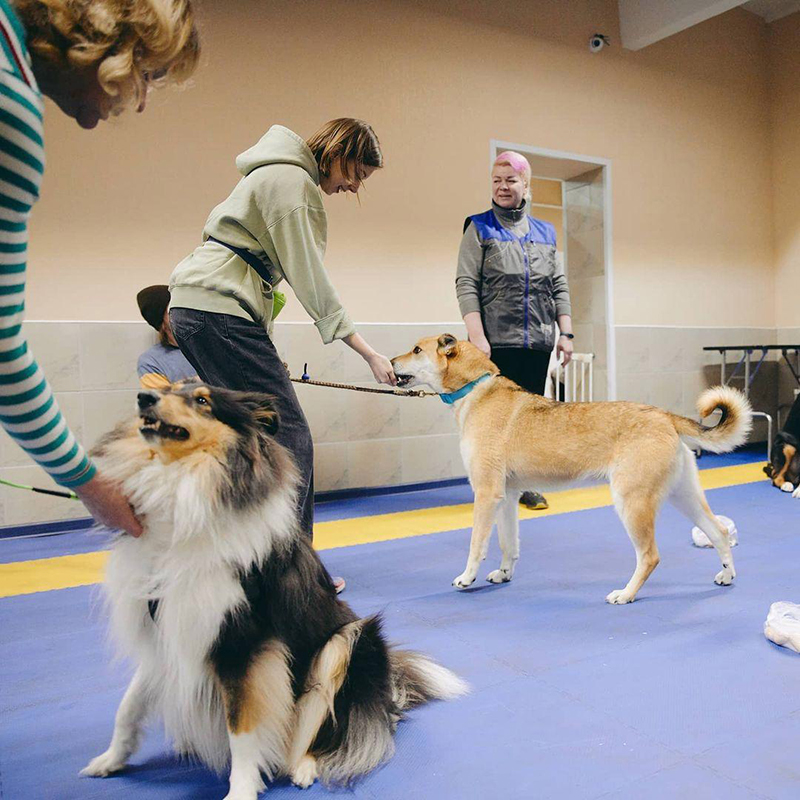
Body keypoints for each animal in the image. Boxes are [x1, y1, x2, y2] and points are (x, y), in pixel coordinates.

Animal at [79, 384, 468, 796]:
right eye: (166, 388)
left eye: (202, 400)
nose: (144, 398)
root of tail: (388, 698)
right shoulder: (165, 628)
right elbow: (129, 704)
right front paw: (109, 760)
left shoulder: (244, 645)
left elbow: (242, 728)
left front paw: (240, 792)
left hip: (345, 642)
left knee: (323, 731)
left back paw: (303, 767)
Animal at [390, 334, 752, 604]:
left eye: (417, 349)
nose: (391, 362)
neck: (476, 391)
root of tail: (663, 415)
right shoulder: (506, 497)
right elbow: (509, 544)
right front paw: (504, 574)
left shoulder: (486, 494)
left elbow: (476, 545)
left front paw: (467, 578)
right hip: (682, 495)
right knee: (718, 532)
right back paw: (727, 575)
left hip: (632, 502)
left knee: (650, 555)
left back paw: (626, 594)